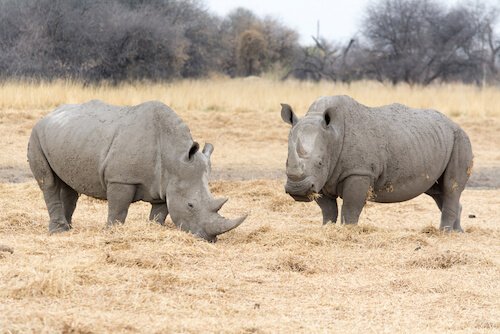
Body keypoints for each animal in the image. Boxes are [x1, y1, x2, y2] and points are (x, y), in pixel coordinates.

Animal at [27, 98, 246, 240]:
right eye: (191, 205)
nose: (209, 239)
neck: (174, 155)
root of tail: (48, 115)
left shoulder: (165, 184)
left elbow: (159, 213)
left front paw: (153, 230)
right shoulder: (120, 178)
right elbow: (118, 209)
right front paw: (112, 233)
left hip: (69, 135)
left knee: (69, 185)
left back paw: (68, 229)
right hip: (36, 134)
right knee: (48, 183)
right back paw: (58, 232)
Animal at [282, 95, 472, 231]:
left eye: (320, 162)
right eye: (286, 161)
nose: (297, 190)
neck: (333, 135)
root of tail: (456, 125)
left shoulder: (359, 172)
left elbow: (350, 207)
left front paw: (349, 231)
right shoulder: (322, 179)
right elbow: (328, 209)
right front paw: (326, 229)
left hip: (460, 139)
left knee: (450, 187)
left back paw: (444, 232)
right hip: (436, 141)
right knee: (438, 192)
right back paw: (457, 232)